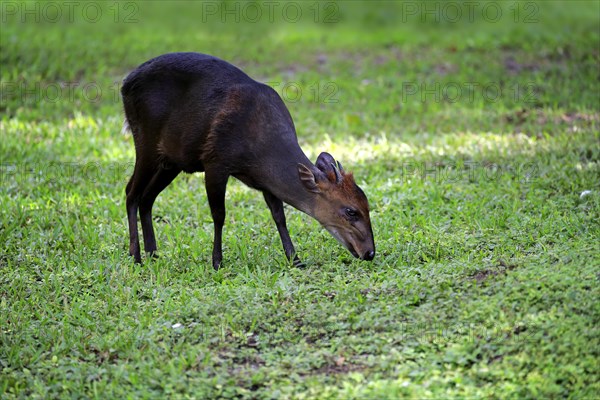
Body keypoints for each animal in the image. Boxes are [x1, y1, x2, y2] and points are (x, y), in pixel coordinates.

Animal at [122, 50, 376, 268]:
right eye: (351, 211)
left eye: (367, 205)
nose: (370, 252)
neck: (258, 152)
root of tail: (125, 84)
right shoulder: (215, 162)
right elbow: (219, 214)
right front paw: (217, 262)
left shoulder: (264, 181)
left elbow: (279, 216)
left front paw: (295, 259)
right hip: (145, 140)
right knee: (131, 192)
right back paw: (136, 256)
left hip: (171, 161)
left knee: (147, 197)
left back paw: (153, 253)